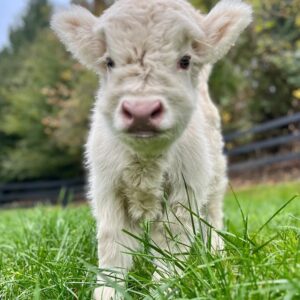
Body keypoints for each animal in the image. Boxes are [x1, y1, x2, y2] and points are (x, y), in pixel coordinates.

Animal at [51, 0, 251, 298]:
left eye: (185, 60)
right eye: (109, 62)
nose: (141, 111)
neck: (146, 161)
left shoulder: (185, 190)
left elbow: (171, 242)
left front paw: (162, 289)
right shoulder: (107, 188)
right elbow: (112, 244)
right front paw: (107, 290)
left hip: (215, 173)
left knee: (213, 215)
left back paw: (217, 254)